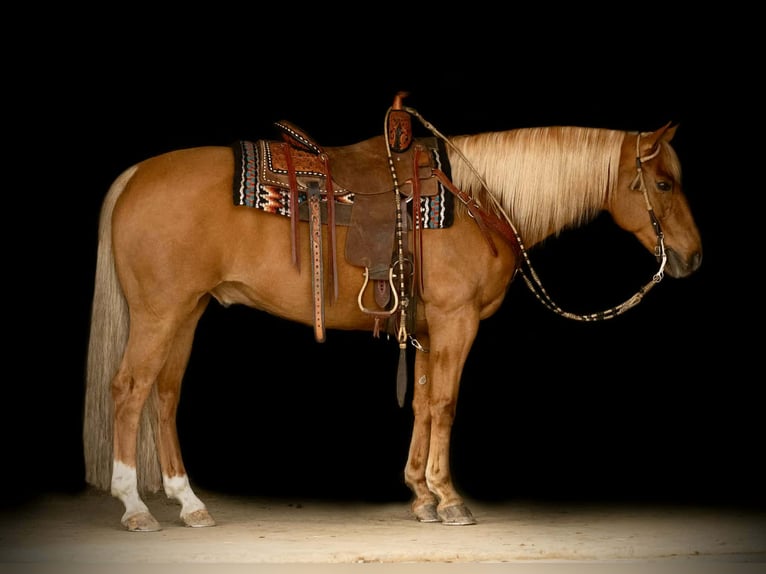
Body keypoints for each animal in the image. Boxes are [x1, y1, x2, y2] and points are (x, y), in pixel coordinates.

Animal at [83, 97, 702, 531]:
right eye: (664, 183)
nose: (693, 257)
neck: (476, 200)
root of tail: (136, 175)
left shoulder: (428, 328)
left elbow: (424, 405)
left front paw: (421, 495)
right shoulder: (456, 321)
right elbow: (445, 405)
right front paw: (448, 499)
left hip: (186, 312)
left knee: (164, 395)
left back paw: (189, 502)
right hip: (159, 313)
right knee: (130, 389)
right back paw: (135, 505)